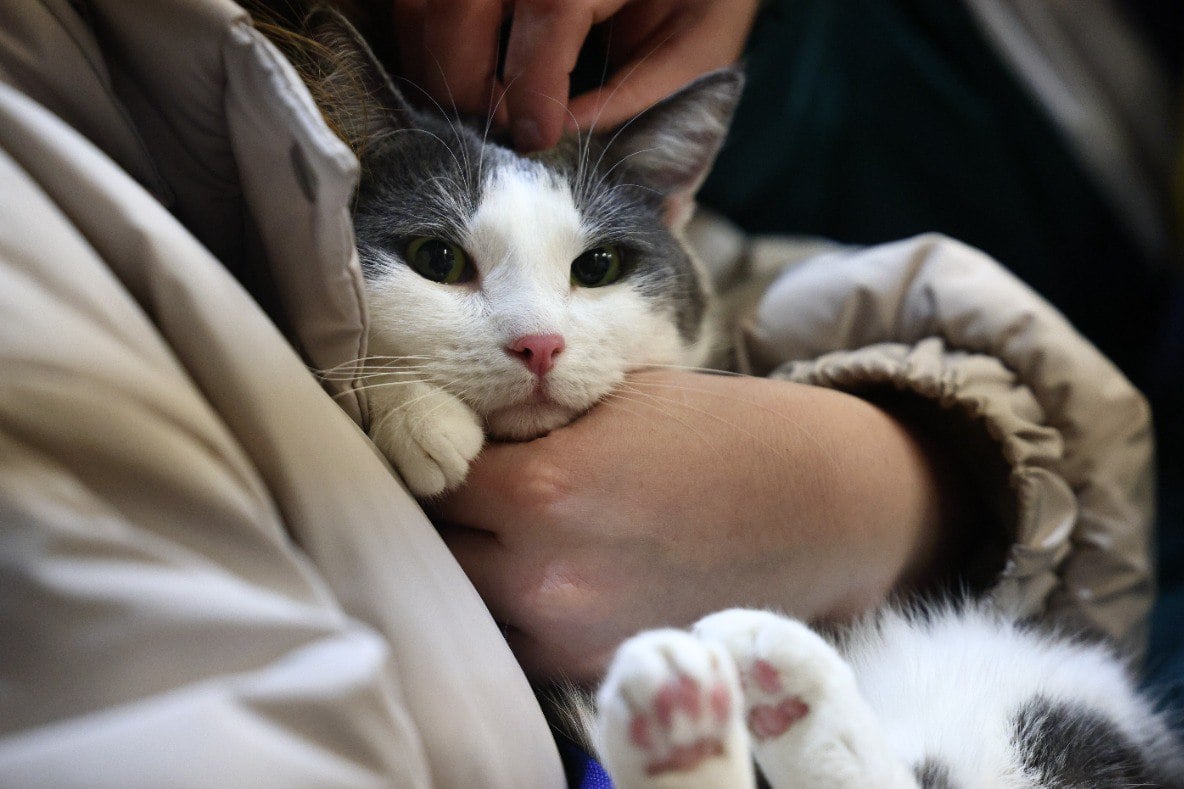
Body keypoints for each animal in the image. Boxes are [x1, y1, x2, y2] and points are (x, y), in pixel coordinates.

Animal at [268, 7, 1184, 786]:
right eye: (437, 257)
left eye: (598, 266)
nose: (539, 344)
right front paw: (417, 414)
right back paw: (694, 715)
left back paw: (758, 685)